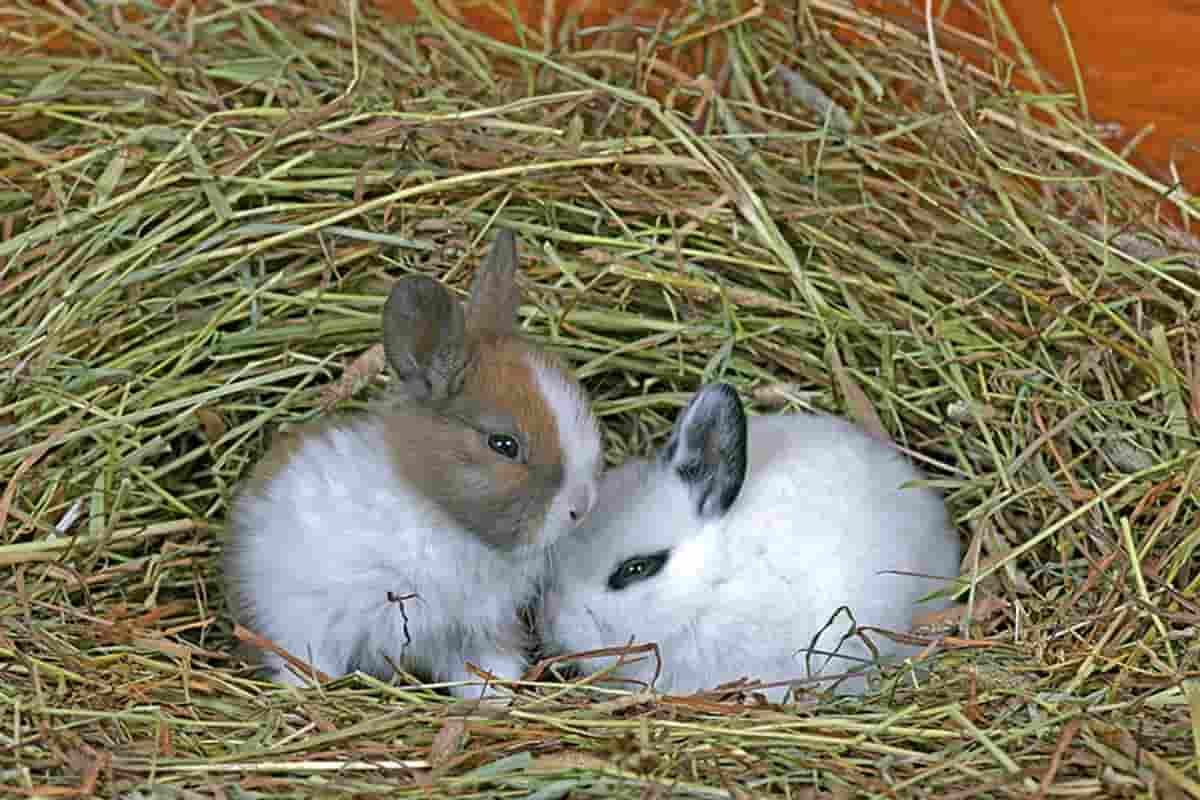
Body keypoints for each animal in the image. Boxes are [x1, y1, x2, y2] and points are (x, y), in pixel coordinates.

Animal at [223, 229, 604, 697]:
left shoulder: (476, 634)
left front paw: (495, 701)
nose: (581, 507)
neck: (440, 516)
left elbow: (488, 672)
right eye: (504, 444)